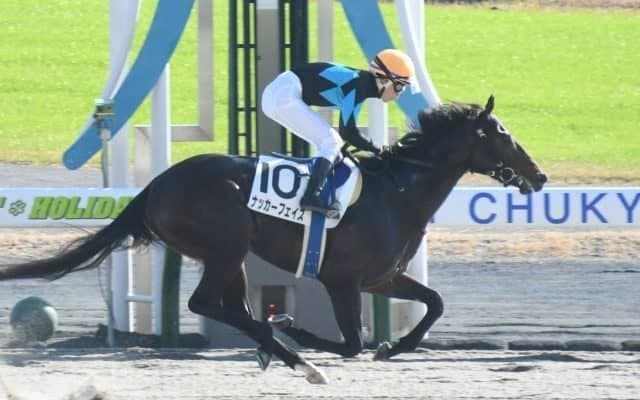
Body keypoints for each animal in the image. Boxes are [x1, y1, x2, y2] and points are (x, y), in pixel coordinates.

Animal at [0, 96, 547, 384]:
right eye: (501, 133)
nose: (539, 176)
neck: (398, 192)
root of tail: (156, 185)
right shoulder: (342, 280)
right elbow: (351, 342)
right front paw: (304, 331)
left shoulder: (382, 278)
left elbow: (433, 303)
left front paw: (394, 347)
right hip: (227, 245)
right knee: (208, 304)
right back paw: (295, 353)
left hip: (233, 254)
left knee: (232, 306)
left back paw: (279, 349)